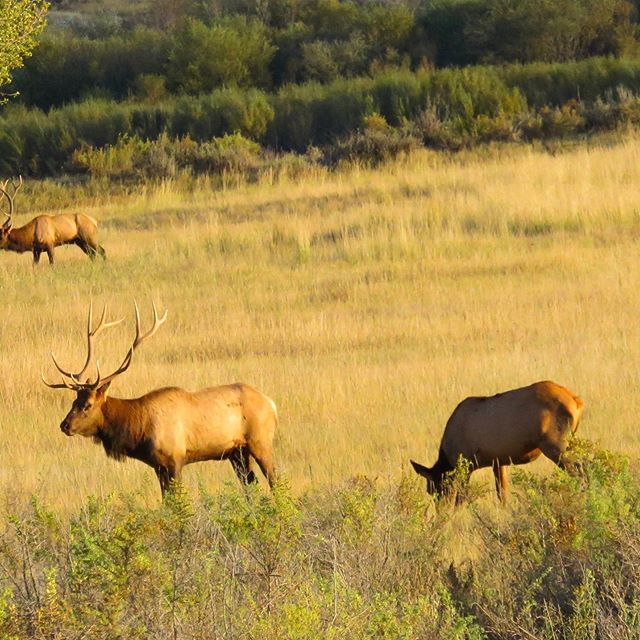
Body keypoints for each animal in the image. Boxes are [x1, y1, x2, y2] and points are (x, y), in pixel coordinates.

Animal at [42, 304, 278, 496]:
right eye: (74, 402)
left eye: (88, 405)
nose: (65, 425)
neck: (139, 428)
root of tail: (272, 404)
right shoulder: (158, 466)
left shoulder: (175, 460)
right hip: (236, 452)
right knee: (251, 484)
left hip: (260, 441)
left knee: (274, 480)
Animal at [410, 382, 584, 502]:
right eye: (430, 491)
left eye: (436, 488)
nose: (441, 511)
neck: (448, 454)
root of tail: (577, 402)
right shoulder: (498, 461)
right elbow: (502, 494)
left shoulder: (465, 465)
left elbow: (462, 498)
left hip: (556, 445)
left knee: (580, 471)